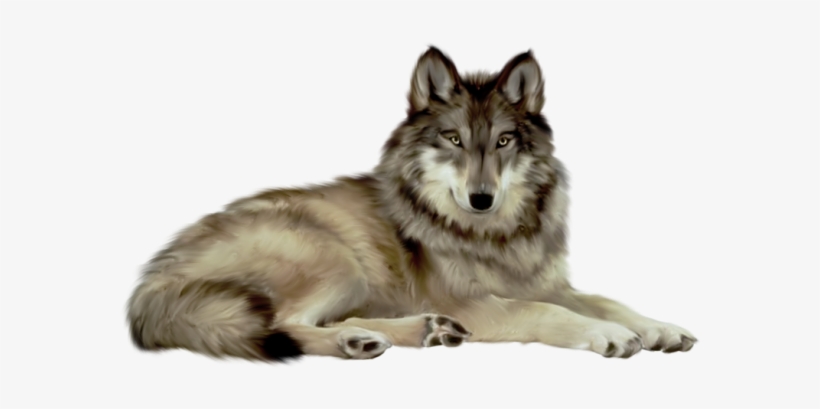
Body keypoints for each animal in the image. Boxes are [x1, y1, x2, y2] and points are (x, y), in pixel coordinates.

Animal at [127, 47, 697, 361]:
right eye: (454, 139)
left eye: (503, 142)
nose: (481, 198)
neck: (495, 234)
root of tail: (152, 279)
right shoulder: (478, 303)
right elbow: (545, 312)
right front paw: (609, 335)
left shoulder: (550, 284)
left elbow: (606, 299)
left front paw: (658, 327)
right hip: (338, 260)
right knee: (285, 325)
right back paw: (365, 340)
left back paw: (419, 331)